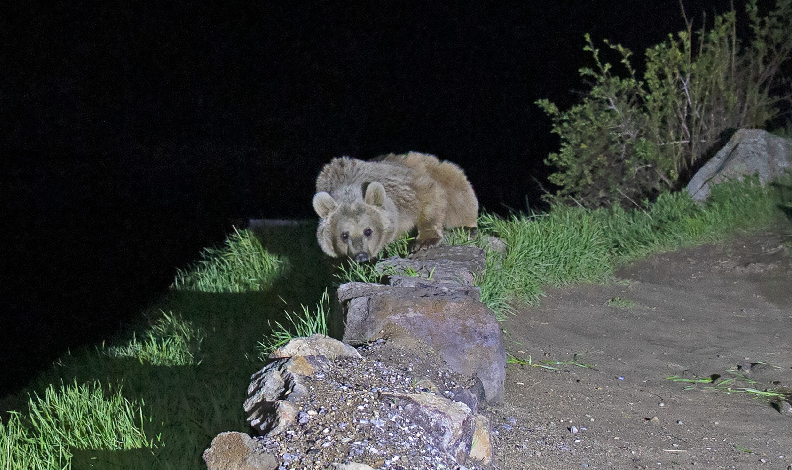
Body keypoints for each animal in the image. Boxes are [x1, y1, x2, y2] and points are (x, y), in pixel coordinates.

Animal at [314, 151, 476, 260]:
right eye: (344, 235)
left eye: (368, 231)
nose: (361, 256)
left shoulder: (404, 190)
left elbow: (430, 196)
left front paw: (425, 241)